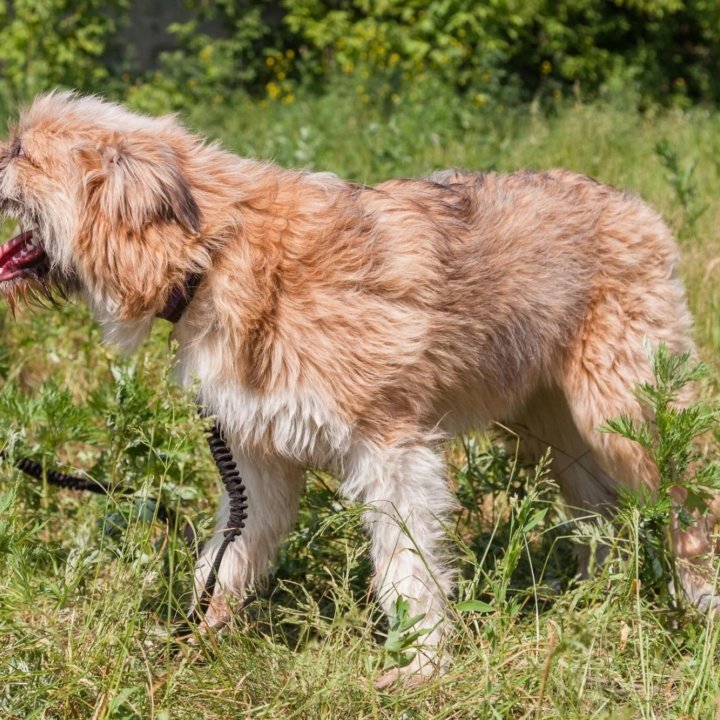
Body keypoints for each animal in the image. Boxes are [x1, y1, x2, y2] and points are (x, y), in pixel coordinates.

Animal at [0, 91, 716, 688]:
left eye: (20, 151)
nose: (2, 152)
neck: (215, 249)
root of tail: (635, 204)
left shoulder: (393, 451)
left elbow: (408, 568)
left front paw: (422, 665)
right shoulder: (256, 469)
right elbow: (226, 561)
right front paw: (194, 640)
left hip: (626, 415)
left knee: (690, 502)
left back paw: (698, 602)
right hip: (550, 430)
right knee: (600, 515)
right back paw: (596, 597)